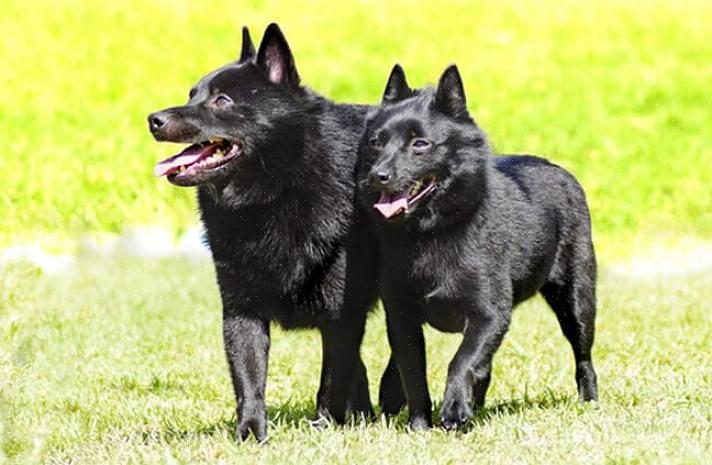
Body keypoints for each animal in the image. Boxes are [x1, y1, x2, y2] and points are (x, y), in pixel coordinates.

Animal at [147, 23, 386, 440]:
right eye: (192, 94)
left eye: (222, 100)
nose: (153, 119)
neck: (275, 192)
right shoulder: (241, 310)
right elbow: (249, 378)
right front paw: (250, 433)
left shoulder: (341, 315)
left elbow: (331, 379)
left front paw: (323, 427)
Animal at [358, 64, 596, 428]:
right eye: (376, 142)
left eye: (420, 144)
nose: (377, 176)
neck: (432, 233)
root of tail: (558, 169)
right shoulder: (401, 317)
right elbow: (414, 372)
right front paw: (420, 425)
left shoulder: (489, 315)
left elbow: (461, 362)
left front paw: (454, 410)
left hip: (577, 301)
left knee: (583, 357)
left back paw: (589, 401)